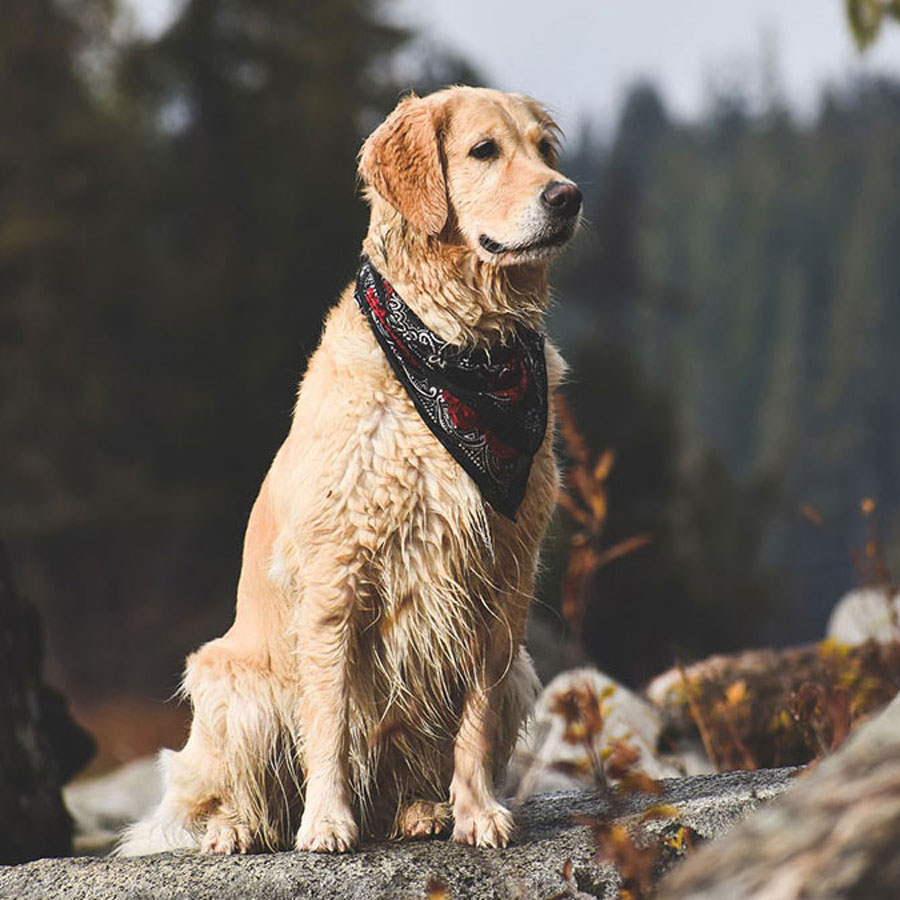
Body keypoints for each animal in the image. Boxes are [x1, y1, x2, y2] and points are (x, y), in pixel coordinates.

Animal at [118, 88, 584, 856]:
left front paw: (477, 812)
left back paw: (422, 808)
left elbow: (475, 718)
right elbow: (331, 719)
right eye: (484, 150)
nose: (567, 196)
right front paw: (327, 823)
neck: (459, 346)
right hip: (229, 686)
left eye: (546, 150)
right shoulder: (337, 576)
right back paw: (237, 828)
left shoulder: (502, 576)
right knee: (225, 792)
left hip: (523, 669)